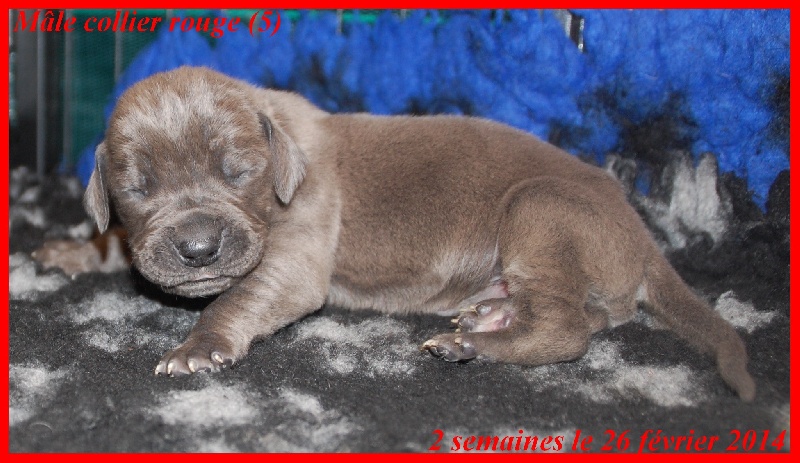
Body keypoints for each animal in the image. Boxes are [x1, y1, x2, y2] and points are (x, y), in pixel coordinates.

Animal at [77, 66, 754, 401]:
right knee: (589, 314)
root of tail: (644, 237)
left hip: (541, 208)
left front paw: (198, 348)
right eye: (137, 189)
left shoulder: (300, 241)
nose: (198, 249)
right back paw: (490, 315)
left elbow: (242, 294)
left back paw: (474, 344)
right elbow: (113, 243)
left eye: (237, 172)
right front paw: (73, 252)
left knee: (568, 328)